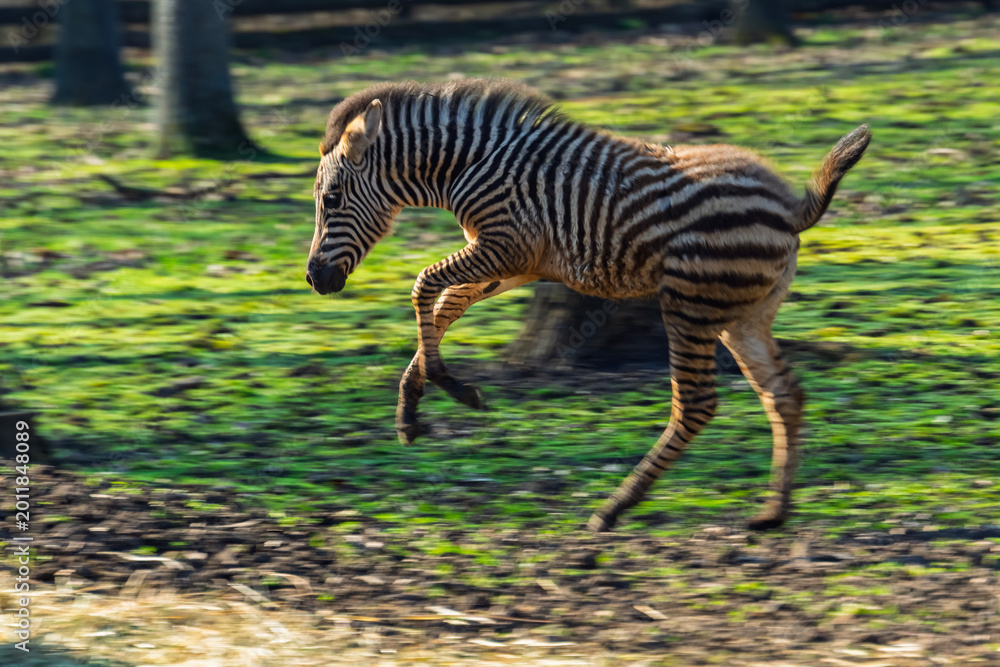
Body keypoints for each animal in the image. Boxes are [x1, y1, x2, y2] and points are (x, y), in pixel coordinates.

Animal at [305, 78, 870, 532]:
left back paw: (615, 508)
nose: (313, 279)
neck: (470, 165)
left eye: (330, 200)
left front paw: (441, 386)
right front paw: (418, 402)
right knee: (783, 394)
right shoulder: (518, 262)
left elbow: (424, 287)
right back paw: (773, 512)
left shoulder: (505, 246)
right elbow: (445, 306)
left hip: (688, 304)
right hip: (743, 315)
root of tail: (789, 207)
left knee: (696, 404)